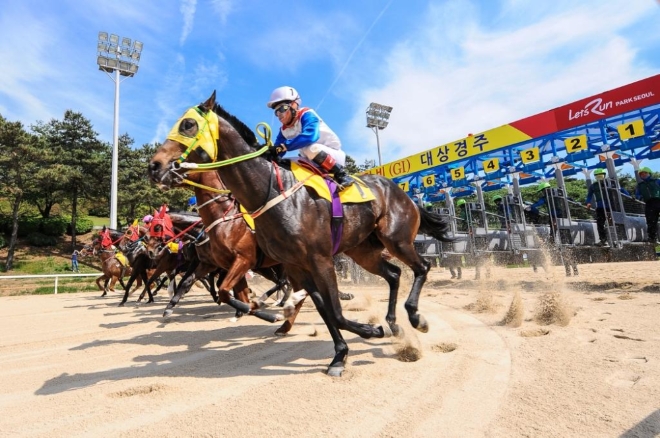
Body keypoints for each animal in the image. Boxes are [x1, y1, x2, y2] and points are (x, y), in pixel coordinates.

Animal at [147, 92, 452, 376]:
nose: (154, 166)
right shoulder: (294, 264)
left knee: (422, 267)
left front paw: (367, 333)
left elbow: (334, 311)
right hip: (363, 251)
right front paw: (341, 353)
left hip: (397, 239)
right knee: (394, 274)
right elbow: (323, 308)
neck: (271, 193)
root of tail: (402, 192)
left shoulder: (315, 259)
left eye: (187, 124)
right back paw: (391, 324)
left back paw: (415, 318)